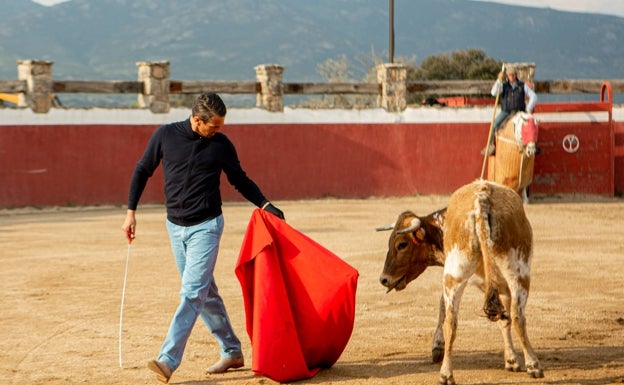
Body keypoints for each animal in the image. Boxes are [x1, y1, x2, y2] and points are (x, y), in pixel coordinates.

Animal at [378, 180, 544, 384]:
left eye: (402, 244)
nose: (384, 279)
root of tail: (482, 199)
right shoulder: (495, 284)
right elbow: (503, 316)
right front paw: (511, 359)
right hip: (516, 272)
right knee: (516, 316)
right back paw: (533, 365)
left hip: (460, 274)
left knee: (454, 321)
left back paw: (446, 374)